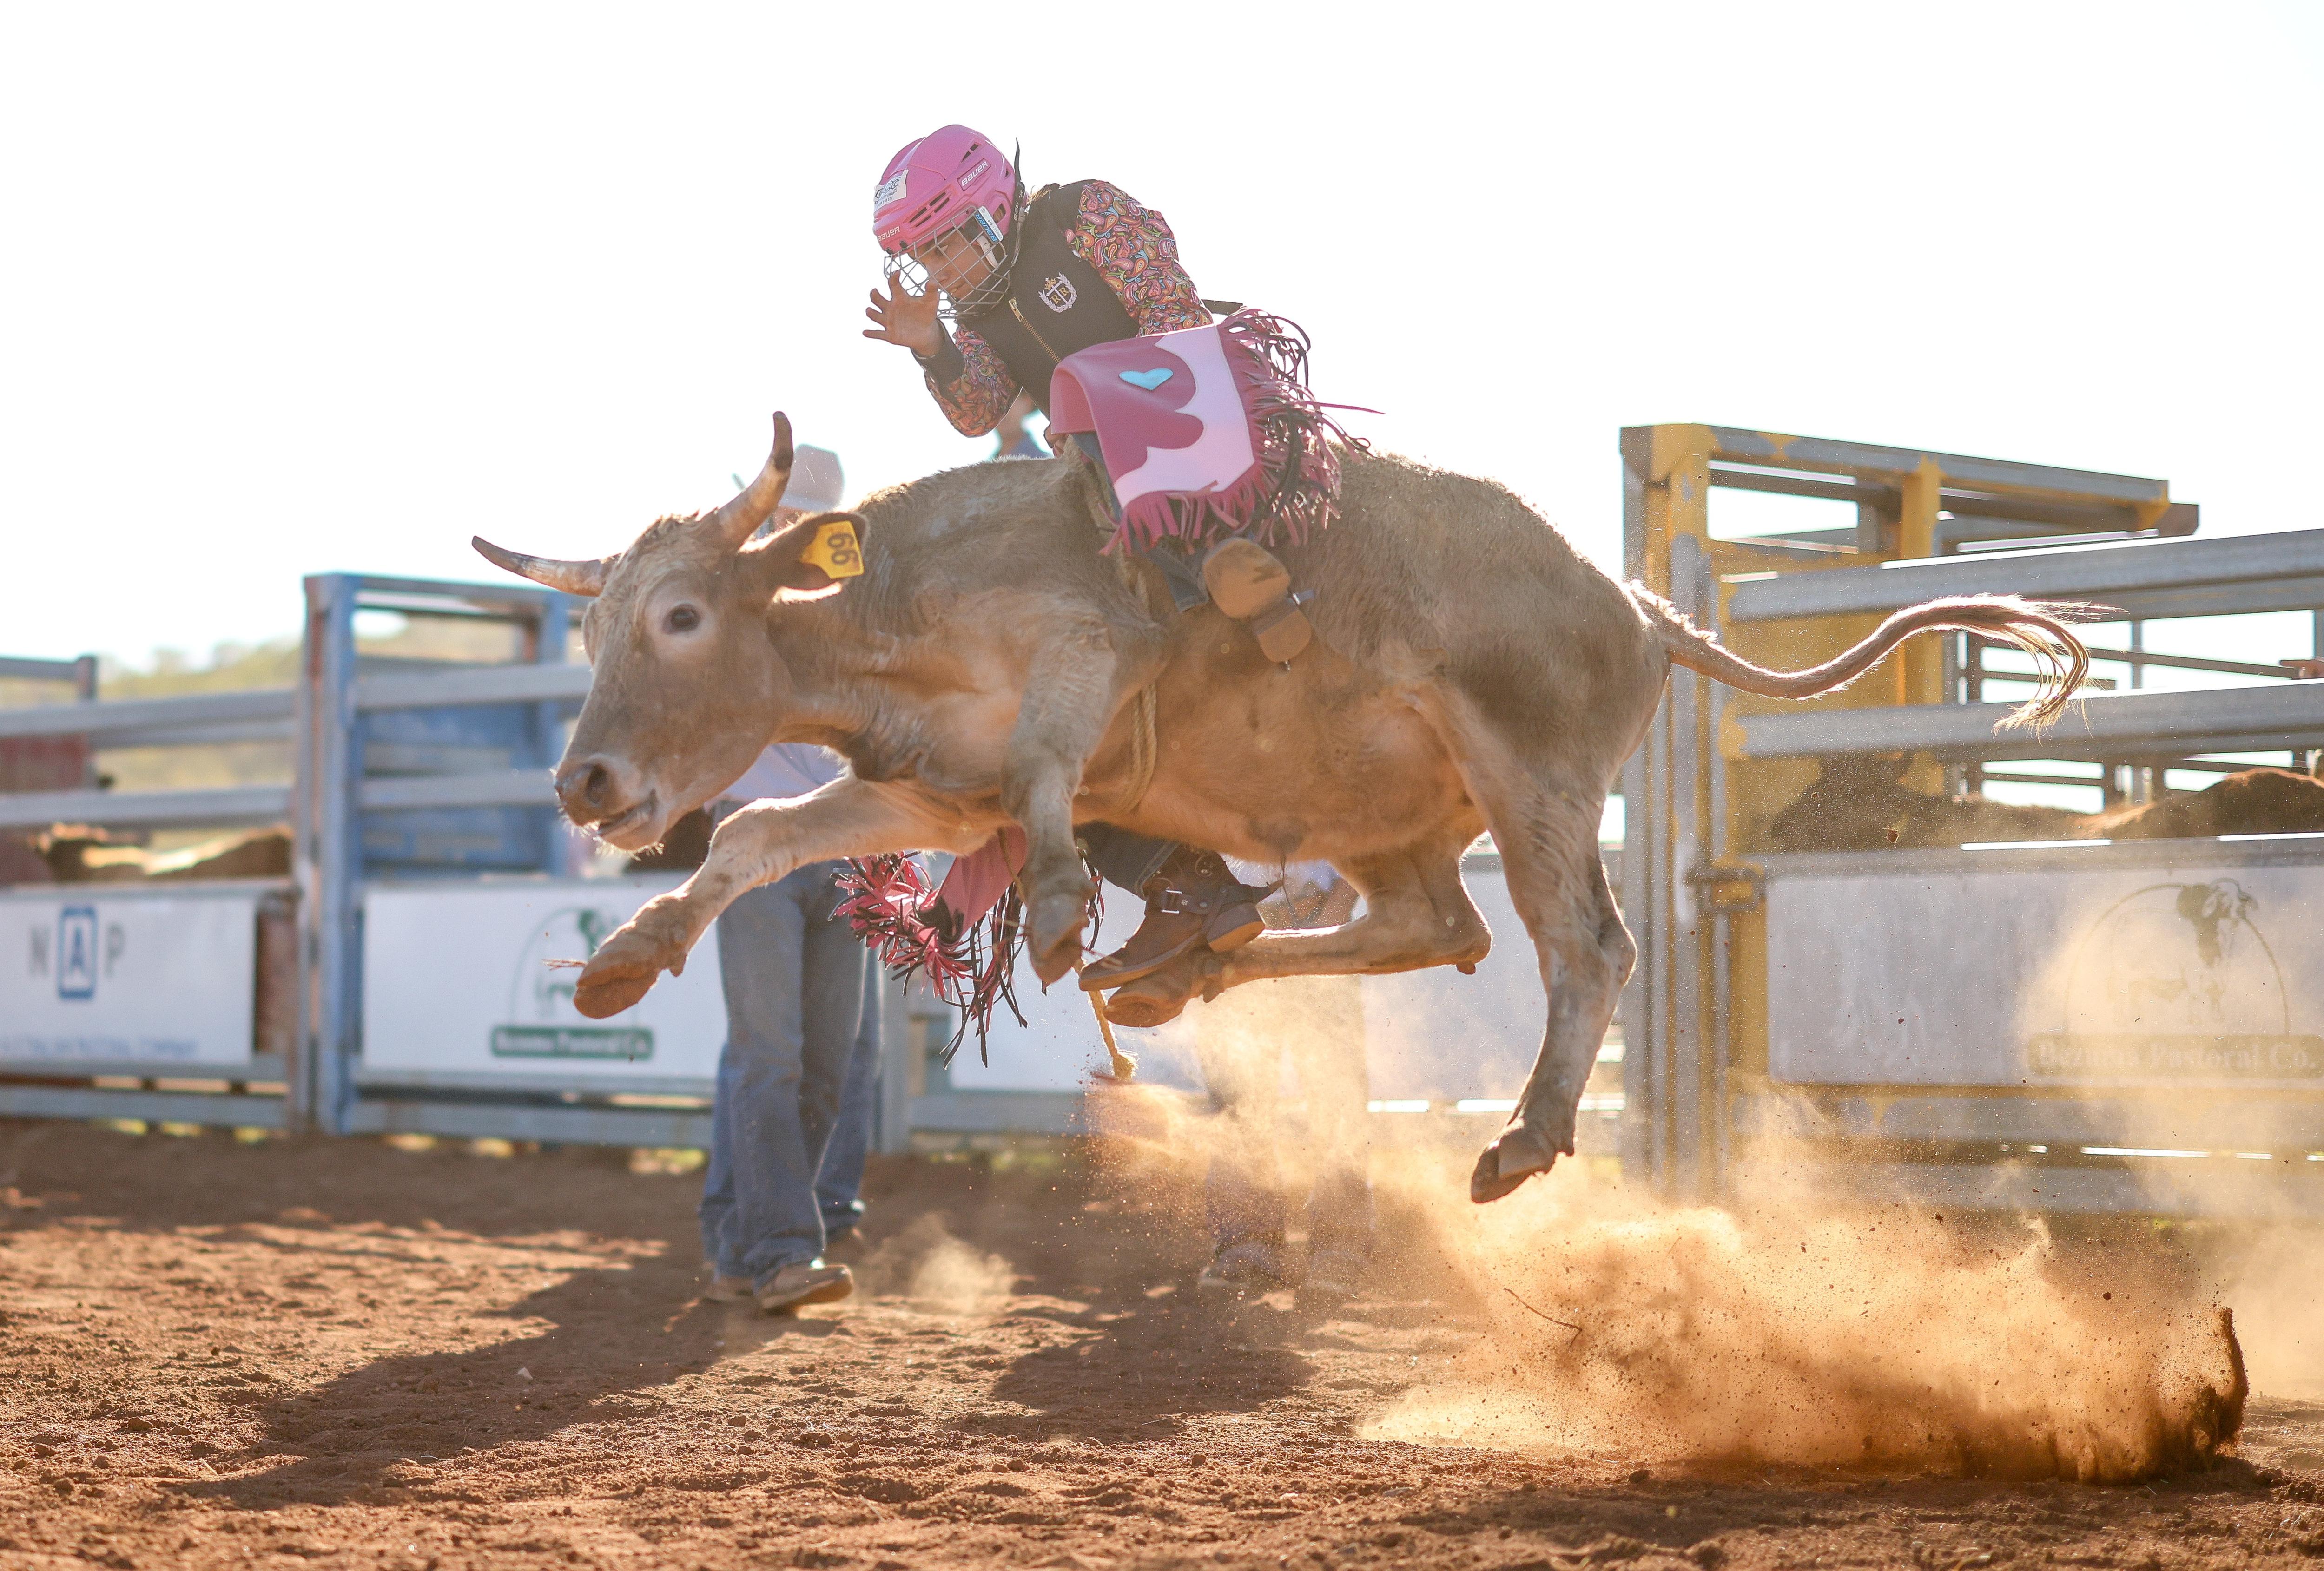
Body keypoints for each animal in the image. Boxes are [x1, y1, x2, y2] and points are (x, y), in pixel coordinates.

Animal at [475, 415, 2090, 1203]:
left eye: (682, 615)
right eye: (602, 619)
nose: (586, 782)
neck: (883, 597)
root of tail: (1639, 604)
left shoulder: (1090, 657)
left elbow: (1055, 767)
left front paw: (1057, 906)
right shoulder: (918, 782)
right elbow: (759, 836)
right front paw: (627, 956)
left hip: (1531, 774)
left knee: (1585, 947)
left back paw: (1517, 1135)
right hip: (1401, 822)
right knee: (1432, 930)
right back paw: (1183, 959)